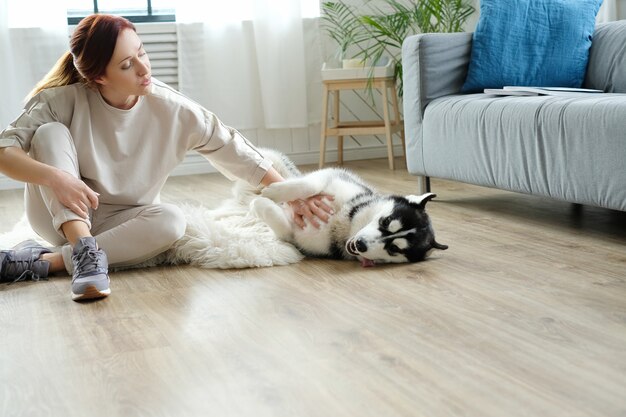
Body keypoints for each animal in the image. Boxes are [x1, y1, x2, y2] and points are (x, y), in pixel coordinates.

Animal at [246, 150, 446, 266]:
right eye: (386, 221)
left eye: (394, 249)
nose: (360, 244)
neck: (346, 221)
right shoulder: (331, 176)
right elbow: (309, 185)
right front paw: (274, 192)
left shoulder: (292, 236)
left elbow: (274, 216)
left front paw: (258, 204)